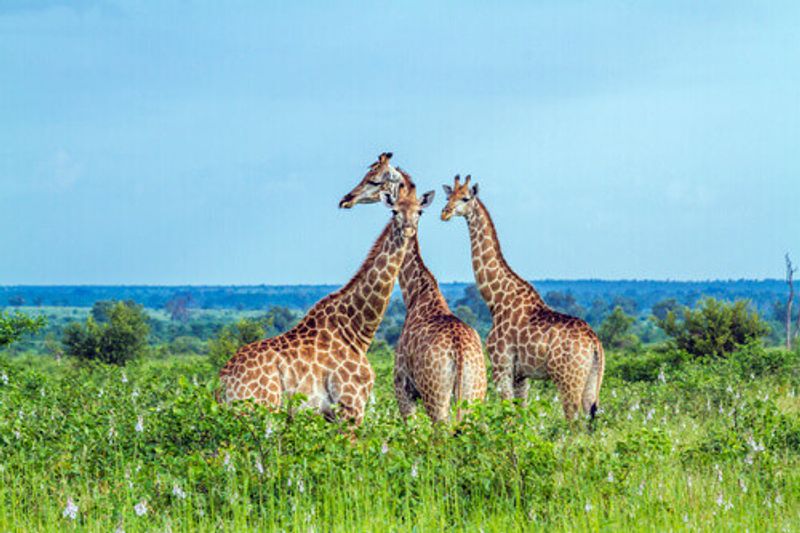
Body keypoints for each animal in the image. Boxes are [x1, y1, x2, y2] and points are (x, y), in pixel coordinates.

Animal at [219, 183, 434, 428]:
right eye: (394, 211)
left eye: (419, 212)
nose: (408, 230)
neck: (356, 331)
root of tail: (223, 381)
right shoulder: (351, 406)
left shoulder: (330, 415)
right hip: (258, 411)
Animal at [340, 155, 488, 424]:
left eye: (373, 179)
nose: (347, 199)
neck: (417, 294)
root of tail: (460, 354)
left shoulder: (403, 388)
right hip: (475, 395)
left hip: (436, 398)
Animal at [440, 175, 604, 420]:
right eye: (448, 196)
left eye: (465, 198)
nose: (445, 212)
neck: (496, 300)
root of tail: (595, 344)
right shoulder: (521, 375)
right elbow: (520, 415)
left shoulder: (501, 366)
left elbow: (508, 414)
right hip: (592, 381)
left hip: (568, 380)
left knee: (574, 421)